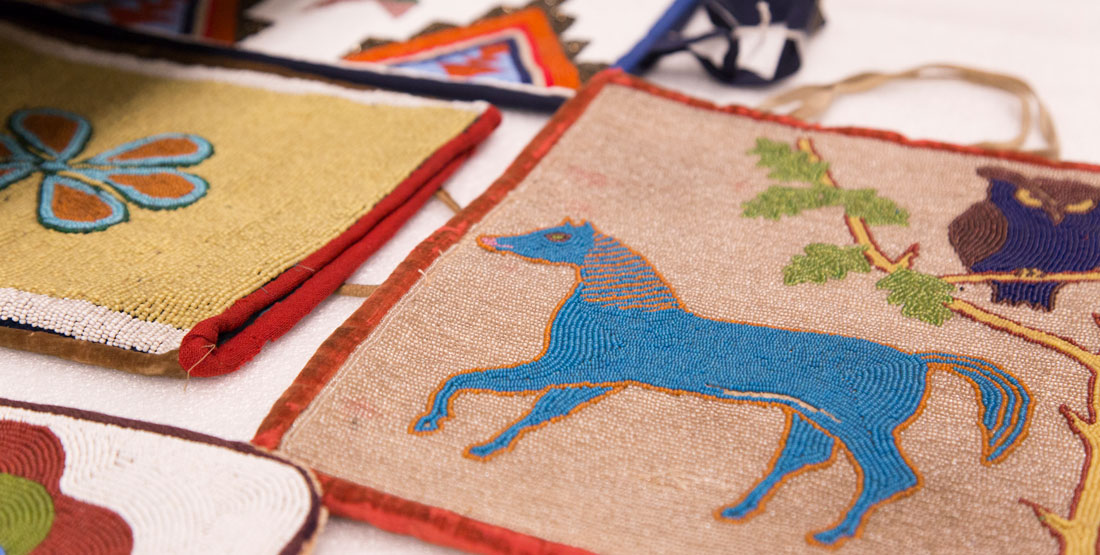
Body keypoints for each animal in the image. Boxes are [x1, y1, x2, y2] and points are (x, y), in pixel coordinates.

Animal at [413, 218, 1029, 542]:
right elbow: (534, 411)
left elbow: (472, 379)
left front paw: (433, 419)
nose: (493, 241)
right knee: (806, 460)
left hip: (858, 421)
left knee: (890, 476)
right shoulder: (594, 380)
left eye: (560, 238)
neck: (620, 307)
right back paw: (739, 512)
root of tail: (921, 359)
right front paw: (485, 447)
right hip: (812, 417)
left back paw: (830, 534)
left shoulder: (574, 368)